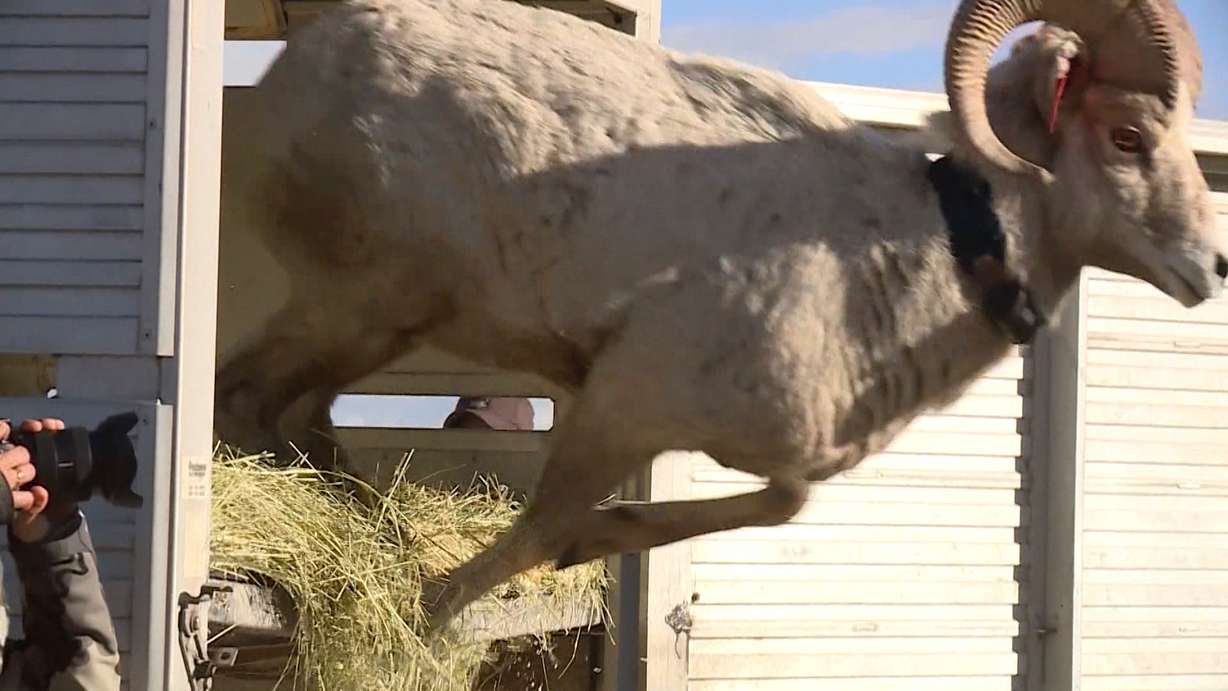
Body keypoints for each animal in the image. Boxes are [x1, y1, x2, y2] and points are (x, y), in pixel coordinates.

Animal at [214, 0, 1227, 632]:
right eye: (1128, 135)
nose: (1211, 266)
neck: (916, 246)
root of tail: (289, 76)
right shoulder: (623, 399)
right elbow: (540, 524)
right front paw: (433, 608)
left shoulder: (742, 441)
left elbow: (777, 503)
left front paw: (594, 540)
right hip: (362, 303)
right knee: (245, 400)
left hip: (372, 320)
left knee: (299, 417)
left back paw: (371, 525)